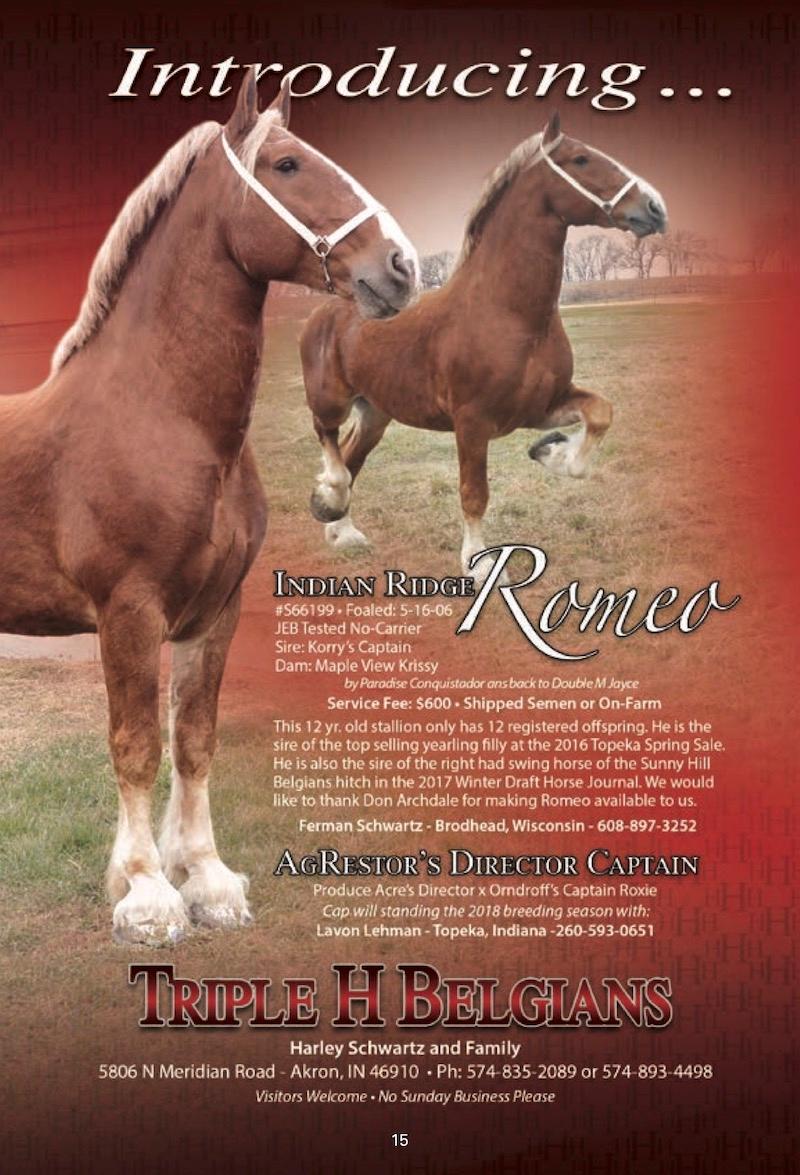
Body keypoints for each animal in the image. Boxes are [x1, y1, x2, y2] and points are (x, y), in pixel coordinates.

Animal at [0, 71, 418, 946]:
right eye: (288, 164)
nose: (400, 267)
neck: (165, 418)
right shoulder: (129, 611)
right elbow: (135, 745)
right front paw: (147, 894)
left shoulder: (214, 611)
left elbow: (194, 740)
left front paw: (207, 879)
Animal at [300, 112, 666, 578]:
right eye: (581, 159)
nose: (654, 208)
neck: (509, 315)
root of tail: (327, 310)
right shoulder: (472, 423)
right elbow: (474, 493)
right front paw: (478, 565)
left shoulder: (540, 406)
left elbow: (600, 413)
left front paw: (552, 452)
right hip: (332, 399)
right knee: (329, 442)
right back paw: (328, 500)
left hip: (376, 412)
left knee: (352, 456)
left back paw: (343, 532)